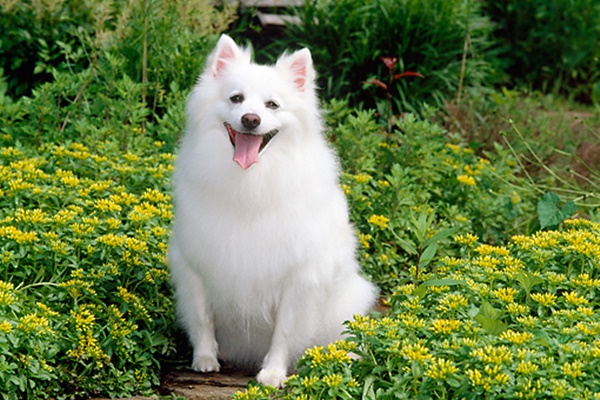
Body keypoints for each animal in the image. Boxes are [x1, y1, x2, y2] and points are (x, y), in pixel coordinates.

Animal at [166, 35, 378, 388]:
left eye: (272, 105)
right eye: (236, 99)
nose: (251, 119)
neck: (251, 182)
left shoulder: (298, 279)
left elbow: (284, 332)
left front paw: (273, 373)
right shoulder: (197, 266)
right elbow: (202, 318)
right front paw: (205, 359)